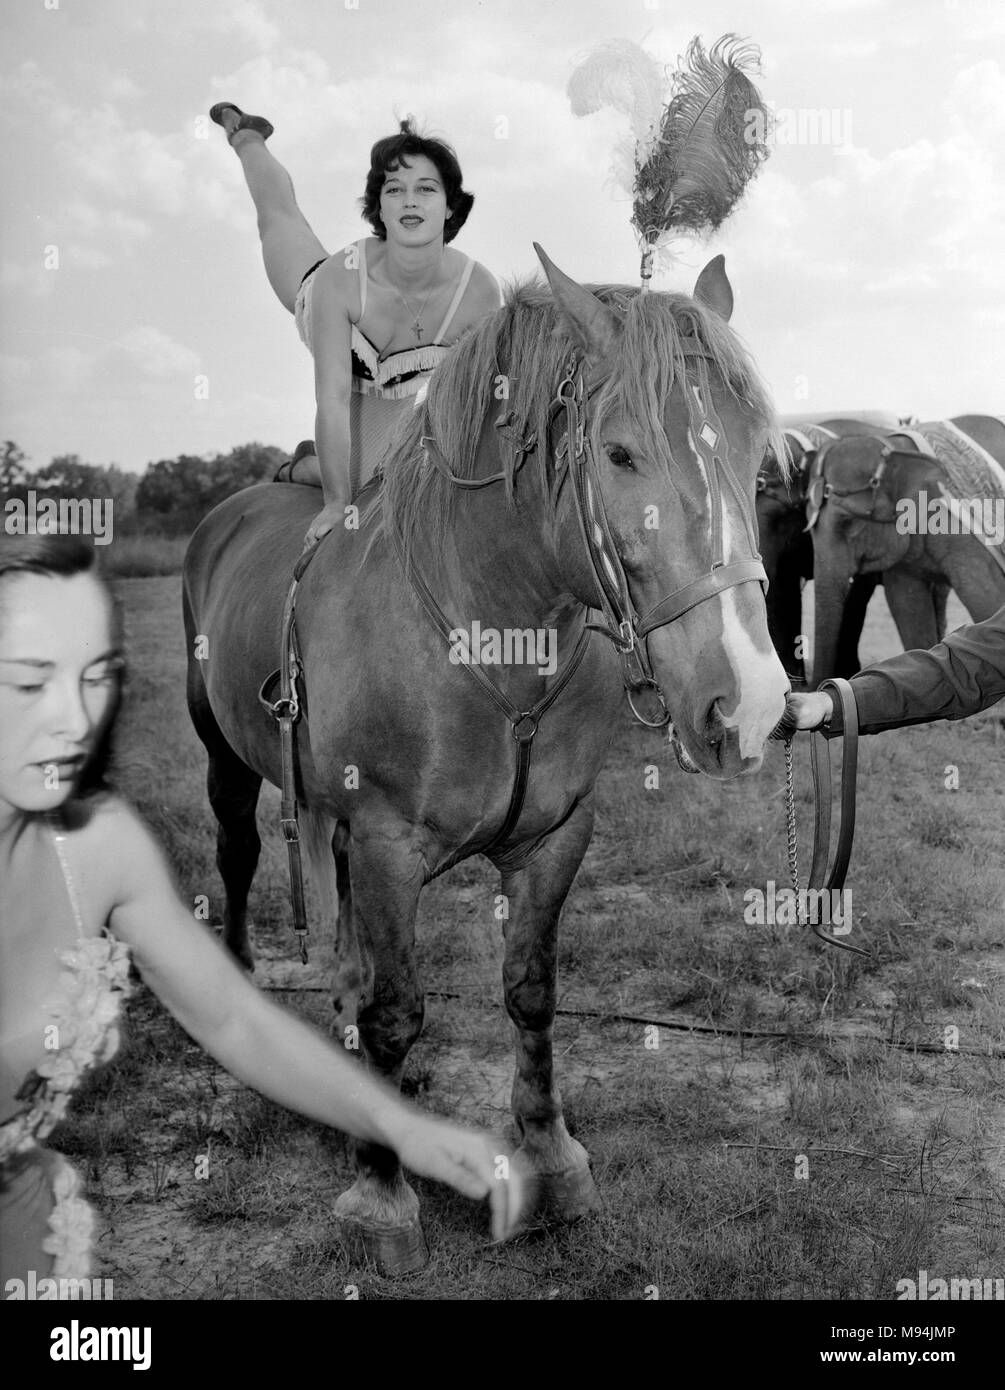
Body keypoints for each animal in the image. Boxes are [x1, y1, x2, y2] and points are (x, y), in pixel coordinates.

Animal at [183, 250, 795, 1273]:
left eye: (757, 458)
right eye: (619, 454)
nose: (746, 706)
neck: (491, 635)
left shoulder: (555, 838)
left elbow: (529, 995)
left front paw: (551, 1161)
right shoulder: (385, 844)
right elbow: (396, 1007)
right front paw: (381, 1197)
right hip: (225, 754)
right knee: (237, 853)